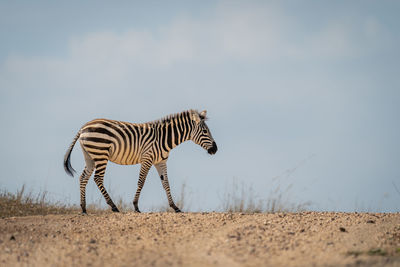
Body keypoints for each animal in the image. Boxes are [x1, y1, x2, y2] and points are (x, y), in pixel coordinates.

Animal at [63, 109, 217, 214]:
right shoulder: (147, 159)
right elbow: (141, 181)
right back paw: (113, 206)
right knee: (98, 178)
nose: (215, 149)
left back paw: (84, 208)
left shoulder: (160, 162)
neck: (164, 139)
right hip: (101, 153)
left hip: (90, 156)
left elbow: (166, 184)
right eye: (205, 131)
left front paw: (175, 207)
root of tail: (83, 127)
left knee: (83, 177)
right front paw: (136, 206)